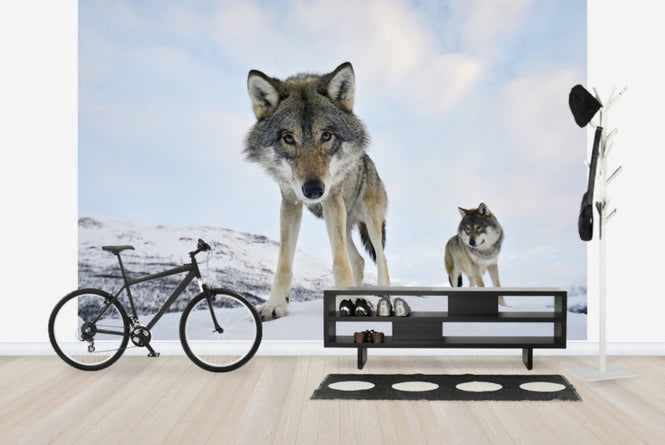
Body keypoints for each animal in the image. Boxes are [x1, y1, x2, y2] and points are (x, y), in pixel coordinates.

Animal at [244, 62, 390, 320]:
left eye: (326, 135)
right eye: (288, 138)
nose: (313, 190)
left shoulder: (332, 200)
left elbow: (339, 261)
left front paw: (353, 300)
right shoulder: (290, 202)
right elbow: (284, 262)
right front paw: (275, 303)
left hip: (370, 221)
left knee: (382, 260)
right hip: (342, 221)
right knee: (359, 260)